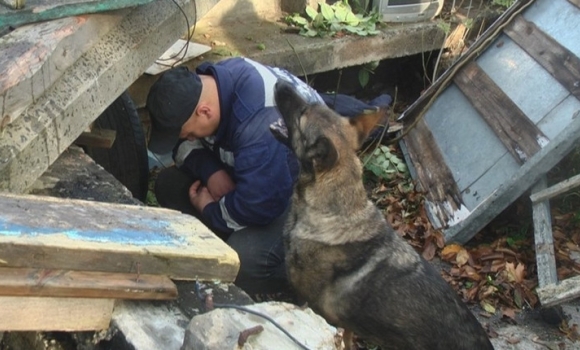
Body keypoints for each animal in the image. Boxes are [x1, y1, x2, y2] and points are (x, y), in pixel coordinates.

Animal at [270, 79, 492, 350]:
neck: (334, 209)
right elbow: (346, 339)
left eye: (302, 113)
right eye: (309, 106)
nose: (281, 82)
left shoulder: (311, 307)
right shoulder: (345, 324)